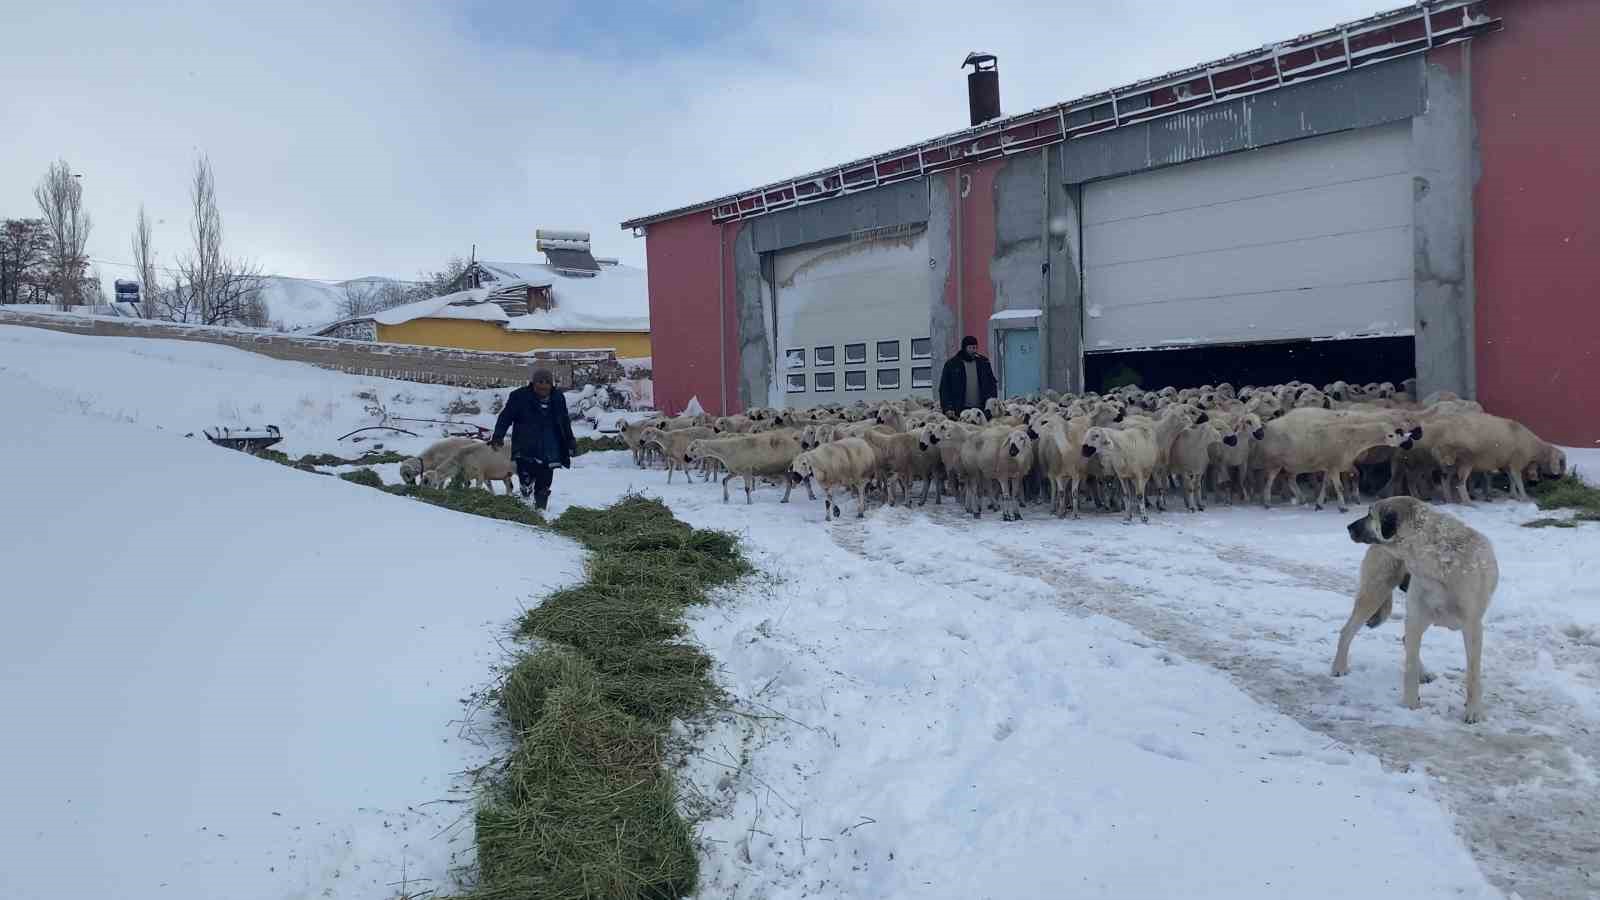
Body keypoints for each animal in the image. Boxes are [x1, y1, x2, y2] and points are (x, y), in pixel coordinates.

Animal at [1337, 496, 1497, 720]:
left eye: (1370, 514)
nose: (1348, 527)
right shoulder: (1415, 618)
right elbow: (1410, 667)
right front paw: (1411, 706)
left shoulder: (1472, 626)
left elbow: (1473, 674)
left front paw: (1473, 711)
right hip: (1375, 594)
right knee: (1347, 631)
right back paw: (1339, 668)